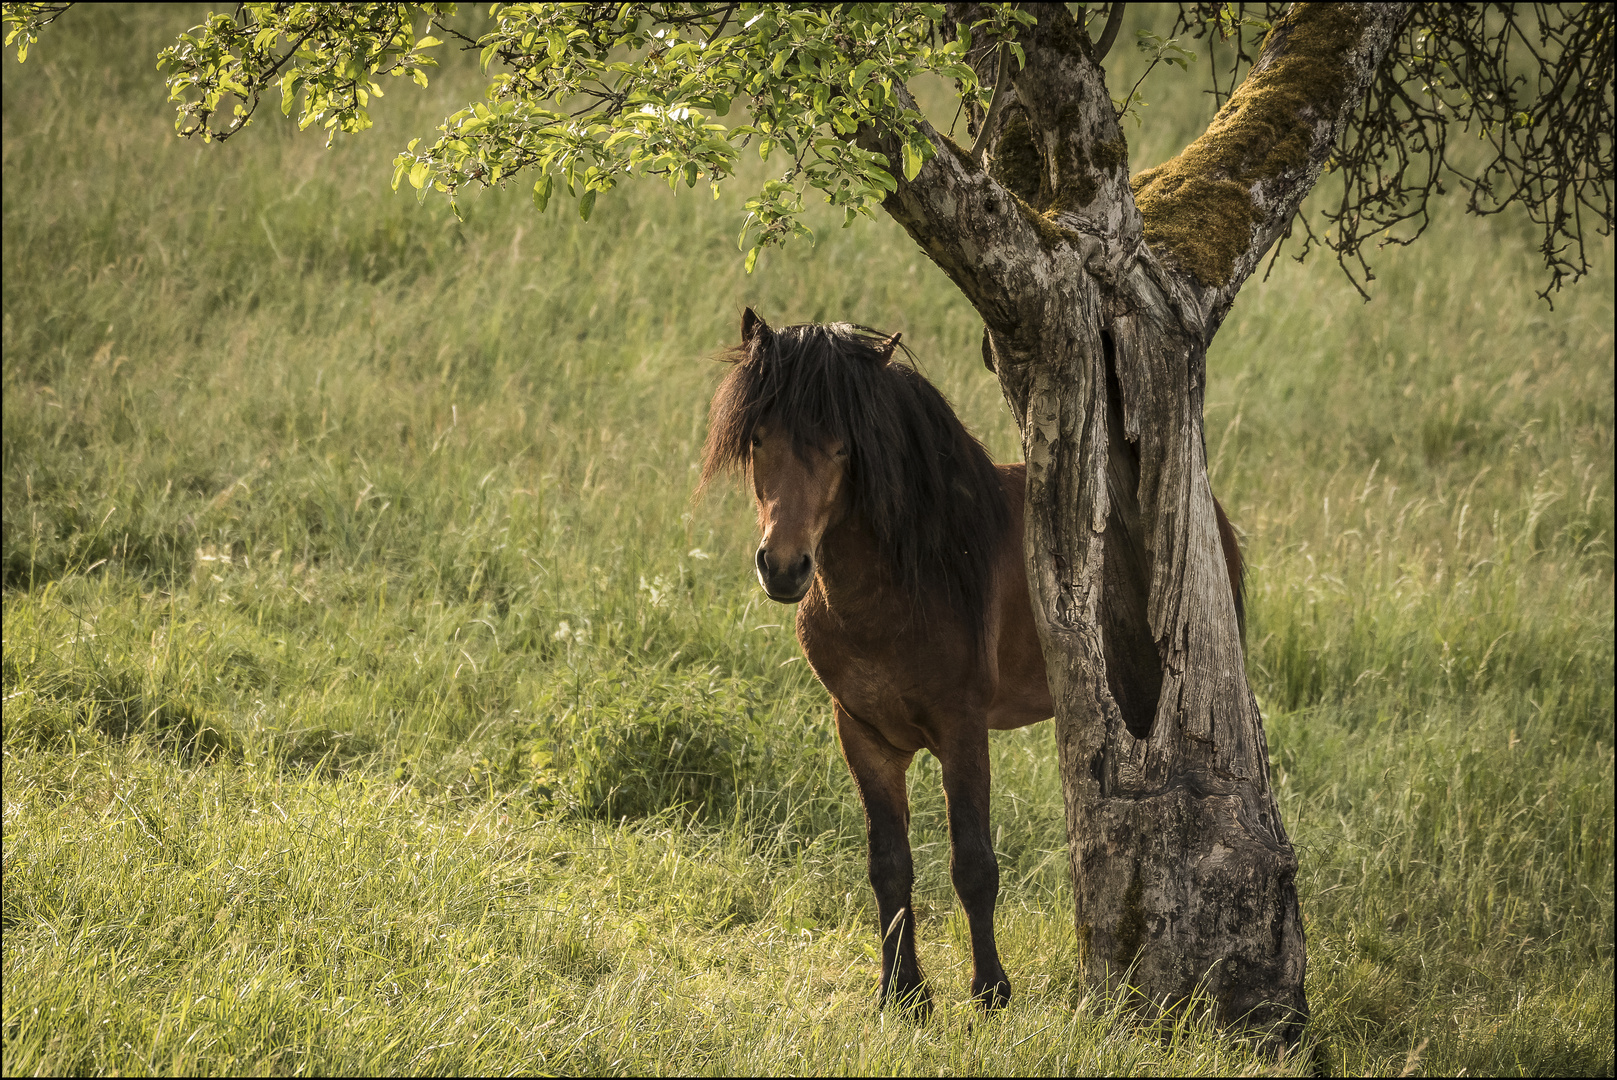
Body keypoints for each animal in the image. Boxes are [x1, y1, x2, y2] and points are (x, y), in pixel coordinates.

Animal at [701, 310, 1241, 1015]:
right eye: (760, 437)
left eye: (845, 447)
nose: (785, 567)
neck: (902, 585)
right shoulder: (863, 734)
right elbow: (889, 864)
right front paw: (901, 994)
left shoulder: (963, 729)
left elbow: (973, 864)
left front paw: (990, 993)